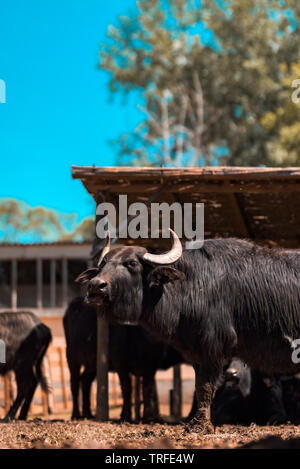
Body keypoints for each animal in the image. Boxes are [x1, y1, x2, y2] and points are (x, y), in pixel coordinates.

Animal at [75, 230, 300, 432]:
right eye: (103, 264)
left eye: (131, 263)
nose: (96, 286)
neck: (191, 287)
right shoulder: (196, 352)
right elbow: (199, 388)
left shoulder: (213, 347)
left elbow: (205, 386)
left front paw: (201, 425)